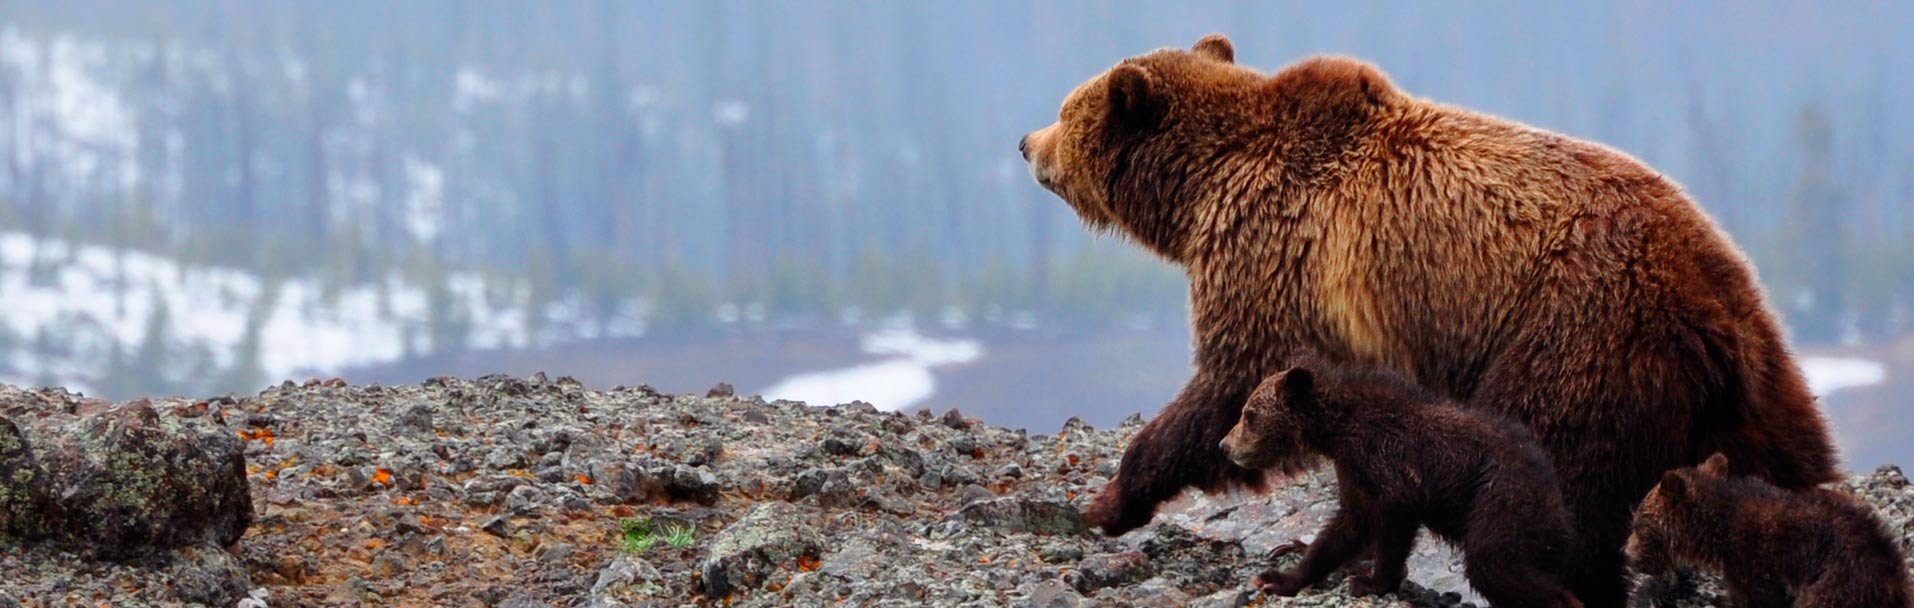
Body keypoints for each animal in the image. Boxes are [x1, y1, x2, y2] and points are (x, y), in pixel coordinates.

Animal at [1221, 353, 1581, 607]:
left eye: (1249, 415)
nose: (1225, 445)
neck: (1336, 429)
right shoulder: (1353, 471)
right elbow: (1346, 526)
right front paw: (1281, 573)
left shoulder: (1387, 461)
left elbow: (1392, 519)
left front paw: (1371, 581)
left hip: (1501, 501)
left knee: (1493, 563)